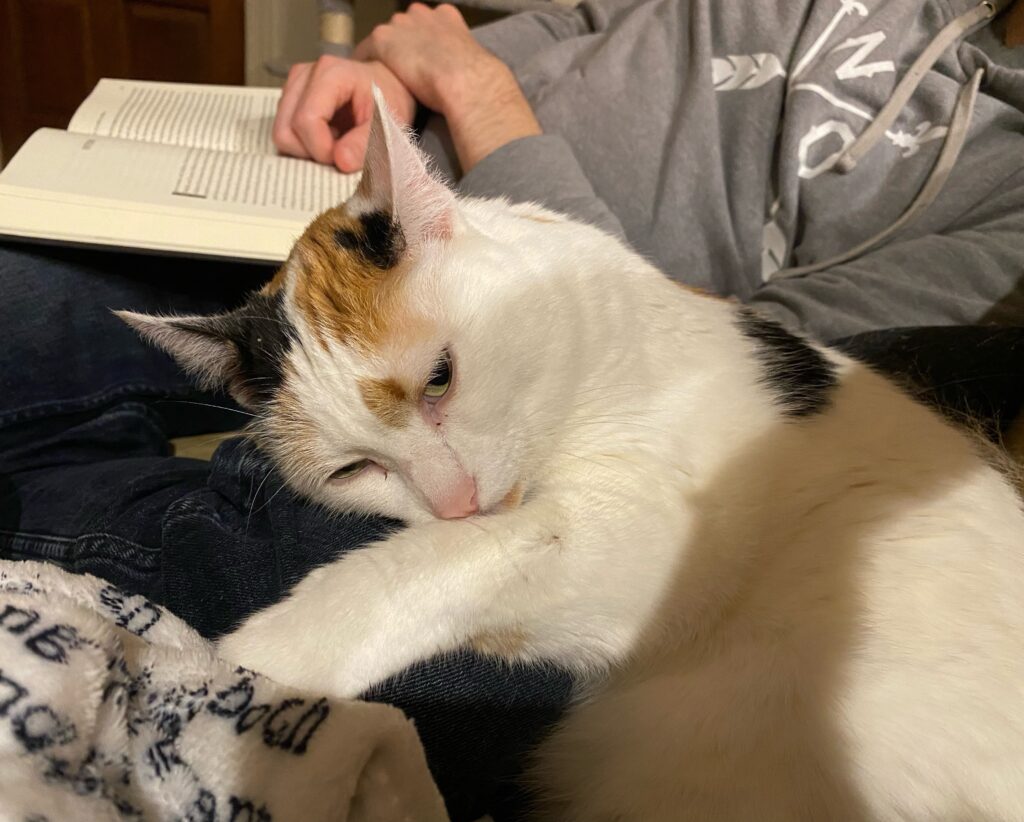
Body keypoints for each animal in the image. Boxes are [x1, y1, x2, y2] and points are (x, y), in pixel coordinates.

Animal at [123, 91, 1024, 822]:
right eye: (351, 471)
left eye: (440, 379)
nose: (455, 502)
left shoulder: (660, 543)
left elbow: (434, 562)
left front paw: (256, 669)